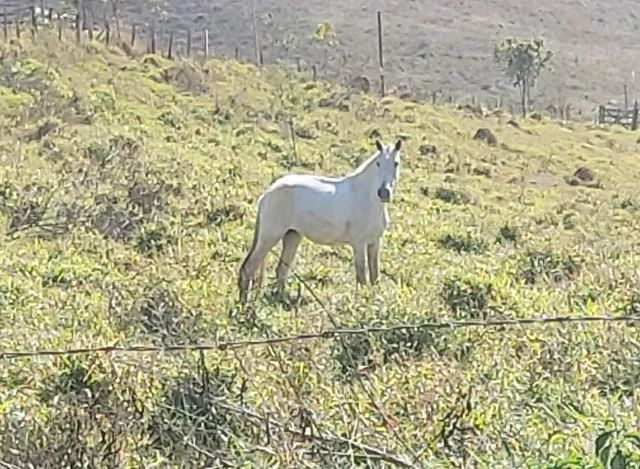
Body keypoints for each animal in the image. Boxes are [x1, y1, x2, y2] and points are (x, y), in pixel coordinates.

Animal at [238, 138, 402, 304]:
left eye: (396, 163)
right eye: (378, 163)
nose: (384, 193)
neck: (366, 197)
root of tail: (267, 194)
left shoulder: (374, 242)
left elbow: (375, 276)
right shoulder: (359, 243)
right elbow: (362, 275)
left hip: (292, 236)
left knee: (281, 270)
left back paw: (281, 300)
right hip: (269, 237)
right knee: (248, 268)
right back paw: (244, 304)